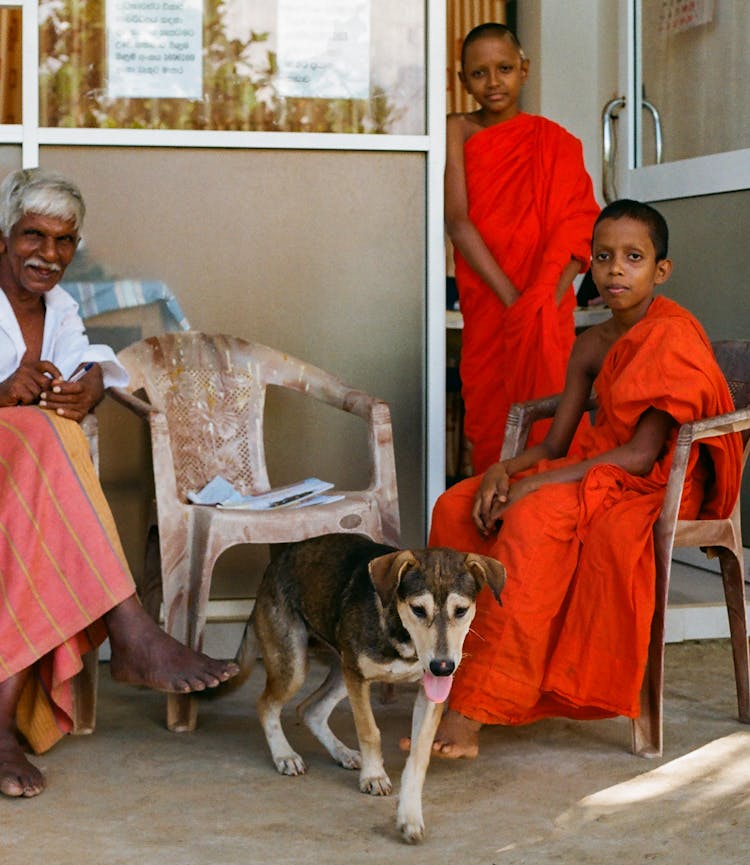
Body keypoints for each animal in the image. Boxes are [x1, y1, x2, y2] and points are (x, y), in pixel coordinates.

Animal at [232, 528, 508, 840]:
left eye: (460, 610)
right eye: (418, 609)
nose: (442, 667)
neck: (403, 637)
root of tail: (276, 565)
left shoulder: (426, 694)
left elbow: (419, 754)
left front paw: (410, 814)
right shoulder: (359, 678)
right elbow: (369, 732)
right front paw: (374, 775)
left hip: (343, 671)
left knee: (310, 709)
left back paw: (342, 753)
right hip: (298, 664)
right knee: (266, 704)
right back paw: (284, 755)